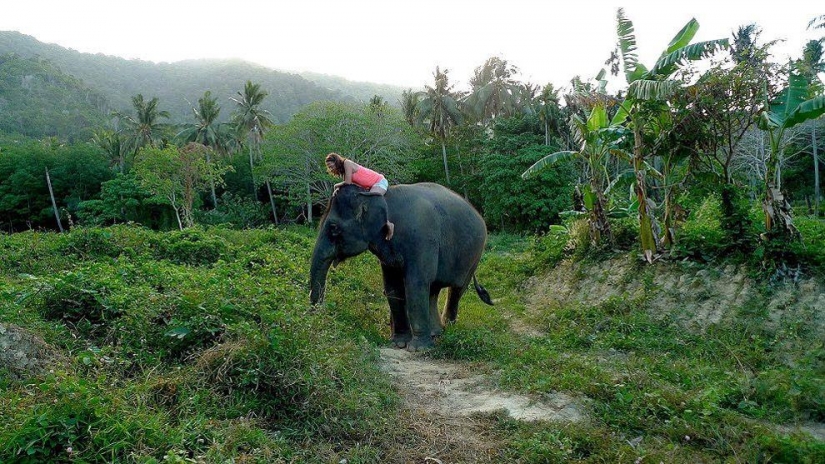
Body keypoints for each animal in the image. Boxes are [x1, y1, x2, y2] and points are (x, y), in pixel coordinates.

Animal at [309, 182, 493, 351]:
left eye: (333, 228)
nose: (319, 316)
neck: (383, 197)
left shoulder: (422, 239)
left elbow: (415, 283)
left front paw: (418, 349)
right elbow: (393, 287)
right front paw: (398, 343)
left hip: (474, 255)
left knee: (456, 290)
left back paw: (447, 333)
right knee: (433, 290)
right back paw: (436, 333)